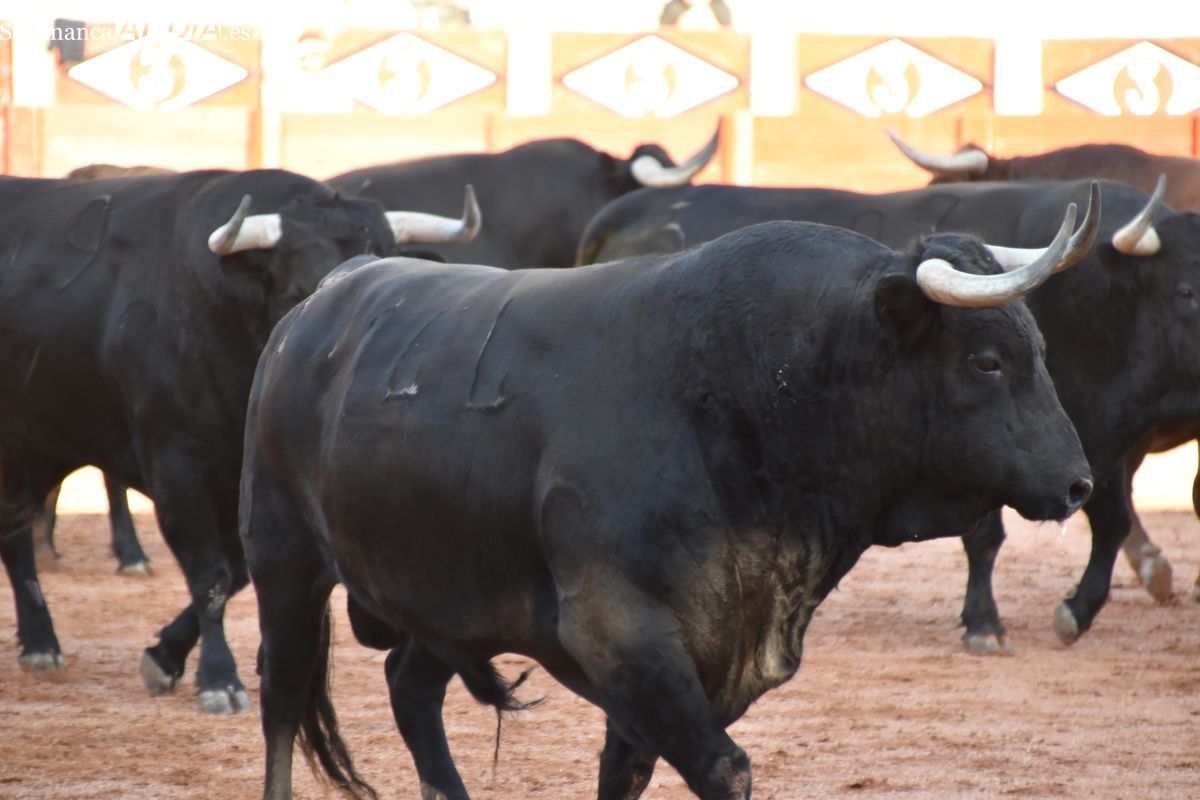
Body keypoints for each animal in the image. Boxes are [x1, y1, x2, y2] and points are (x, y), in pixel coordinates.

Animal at [0, 168, 480, 714]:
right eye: (299, 291)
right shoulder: (177, 471)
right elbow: (208, 574)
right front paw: (218, 677)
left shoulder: (249, 484)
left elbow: (236, 572)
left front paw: (165, 655)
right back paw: (41, 643)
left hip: (36, 448)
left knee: (14, 528)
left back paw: (39, 641)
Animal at [240, 205, 1094, 800]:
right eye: (987, 360)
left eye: (1041, 349)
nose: (1079, 482)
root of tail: (315, 304)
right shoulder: (621, 634)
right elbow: (724, 768)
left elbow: (626, 772)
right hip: (285, 557)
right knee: (282, 693)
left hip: (452, 598)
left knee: (410, 687)